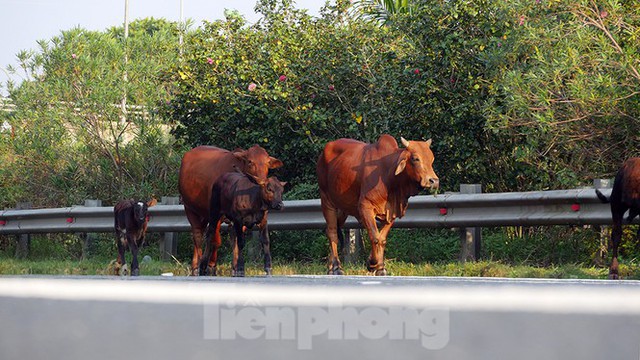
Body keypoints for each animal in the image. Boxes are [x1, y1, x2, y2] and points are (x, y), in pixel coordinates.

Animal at [179, 145, 282, 274]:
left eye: (268, 162)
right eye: (250, 161)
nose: (262, 181)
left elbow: (237, 240)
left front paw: (236, 267)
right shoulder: (217, 215)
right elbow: (216, 240)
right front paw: (211, 266)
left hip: (204, 214)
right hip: (190, 209)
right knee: (197, 236)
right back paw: (197, 266)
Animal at [316, 135, 438, 276]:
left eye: (432, 159)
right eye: (415, 158)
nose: (434, 181)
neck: (388, 175)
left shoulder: (392, 213)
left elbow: (382, 238)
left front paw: (379, 267)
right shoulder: (365, 207)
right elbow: (375, 237)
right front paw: (373, 264)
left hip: (343, 208)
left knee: (334, 229)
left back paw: (330, 267)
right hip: (327, 200)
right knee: (332, 232)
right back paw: (336, 267)